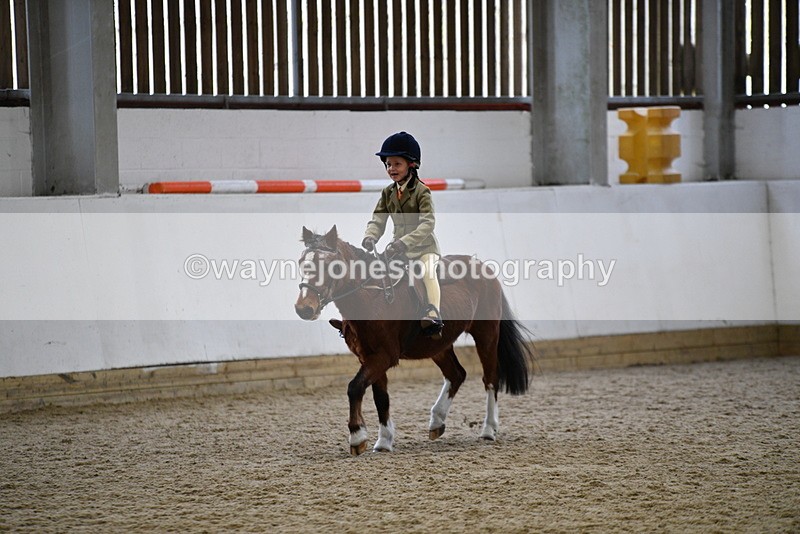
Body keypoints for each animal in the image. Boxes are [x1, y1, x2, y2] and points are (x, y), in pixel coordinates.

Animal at [294, 225, 535, 455]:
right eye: (301, 262)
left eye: (328, 265)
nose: (303, 308)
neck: (374, 296)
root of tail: (483, 268)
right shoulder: (368, 356)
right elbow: (380, 398)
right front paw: (384, 441)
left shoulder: (384, 355)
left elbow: (355, 387)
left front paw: (357, 437)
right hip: (438, 346)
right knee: (456, 374)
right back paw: (437, 420)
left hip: (486, 334)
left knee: (490, 378)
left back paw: (488, 429)